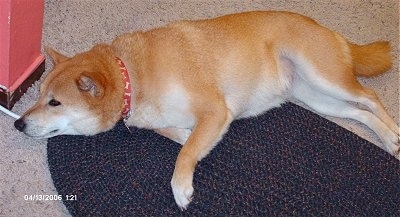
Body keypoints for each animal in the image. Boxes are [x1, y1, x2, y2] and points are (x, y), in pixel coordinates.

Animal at [14, 11, 398, 209]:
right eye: (39, 95)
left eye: (55, 102)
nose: (18, 124)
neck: (132, 76)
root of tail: (328, 30)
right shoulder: (174, 119)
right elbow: (180, 137)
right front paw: (185, 136)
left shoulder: (215, 110)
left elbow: (183, 156)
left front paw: (181, 187)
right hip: (314, 96)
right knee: (361, 112)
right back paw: (388, 138)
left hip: (325, 78)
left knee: (370, 98)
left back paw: (394, 136)